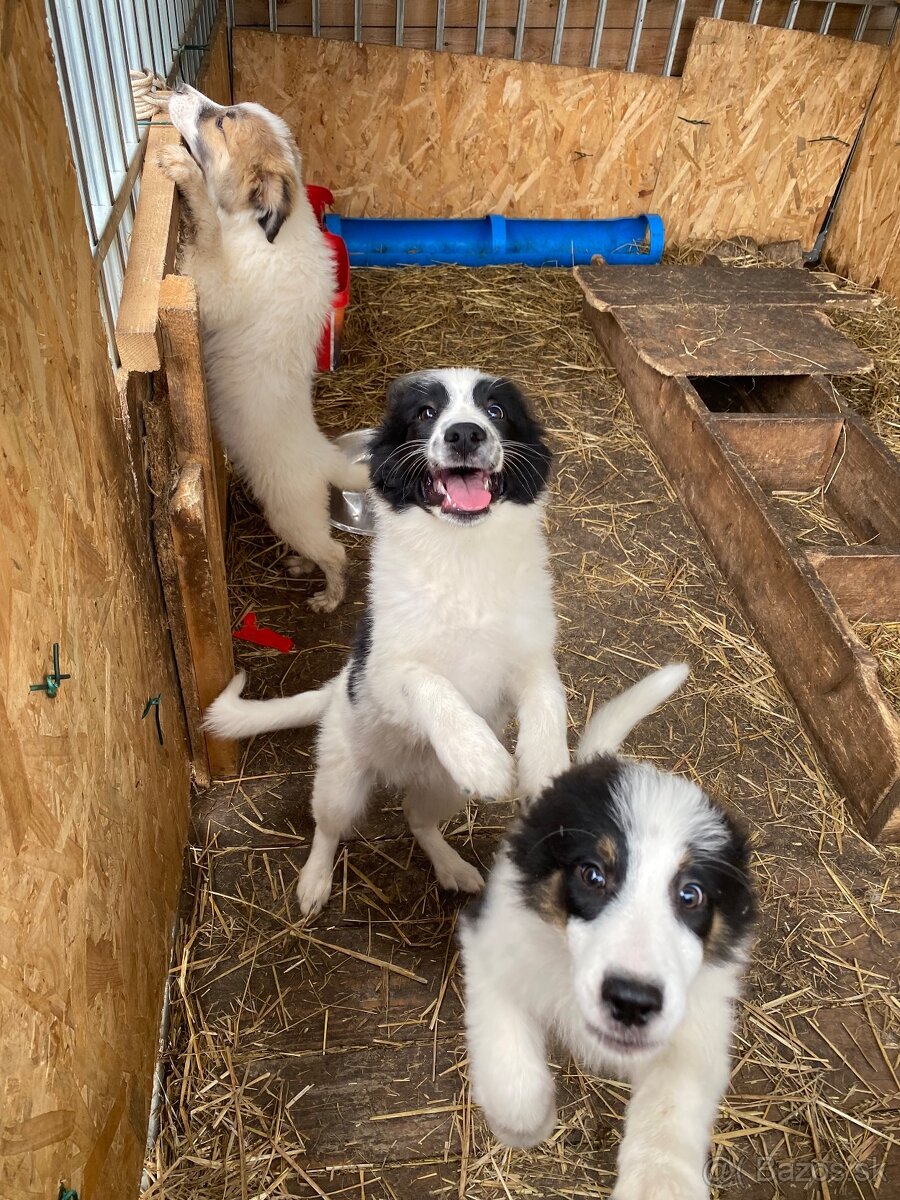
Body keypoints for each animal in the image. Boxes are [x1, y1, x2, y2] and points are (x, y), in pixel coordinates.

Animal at [157, 83, 367, 609]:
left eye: (221, 123)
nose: (178, 87)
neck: (268, 231)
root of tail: (325, 458)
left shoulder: (216, 289)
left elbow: (207, 228)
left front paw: (185, 171)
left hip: (289, 513)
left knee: (336, 554)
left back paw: (328, 596)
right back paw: (299, 566)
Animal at [205, 369, 571, 912]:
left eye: (497, 410)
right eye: (425, 413)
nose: (465, 434)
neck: (463, 559)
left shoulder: (532, 658)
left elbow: (550, 703)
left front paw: (547, 771)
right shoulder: (386, 670)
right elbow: (430, 683)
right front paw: (481, 756)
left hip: (444, 787)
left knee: (417, 821)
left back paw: (452, 866)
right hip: (339, 779)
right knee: (327, 830)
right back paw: (314, 883)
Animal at [460, 667, 758, 1200]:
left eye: (691, 895)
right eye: (593, 874)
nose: (632, 1002)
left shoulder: (700, 1017)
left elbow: (673, 1100)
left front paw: (660, 1183)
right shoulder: (493, 942)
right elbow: (510, 1063)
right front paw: (524, 1125)